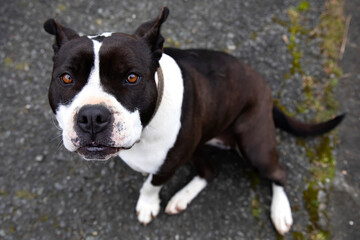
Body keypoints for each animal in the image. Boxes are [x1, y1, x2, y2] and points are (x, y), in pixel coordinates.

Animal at [43, 7, 344, 234]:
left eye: (131, 77)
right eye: (66, 78)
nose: (93, 116)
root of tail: (266, 89)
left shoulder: (168, 164)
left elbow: (151, 185)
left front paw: (147, 204)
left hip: (253, 144)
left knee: (278, 173)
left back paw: (281, 213)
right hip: (199, 143)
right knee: (210, 170)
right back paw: (181, 197)